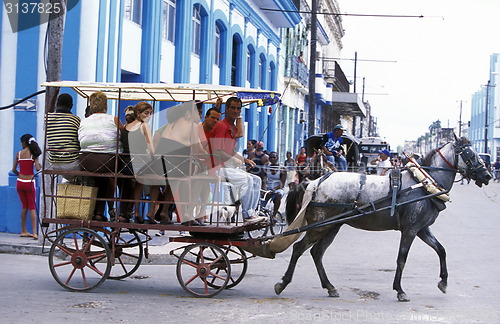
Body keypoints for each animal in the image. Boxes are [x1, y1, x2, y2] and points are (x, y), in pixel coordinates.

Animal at [278, 138, 492, 302]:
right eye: (470, 154)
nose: (488, 175)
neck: (424, 183)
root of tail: (314, 182)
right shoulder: (410, 229)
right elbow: (401, 259)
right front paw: (400, 290)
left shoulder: (422, 229)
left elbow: (441, 250)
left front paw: (443, 282)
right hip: (320, 226)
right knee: (298, 248)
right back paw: (283, 283)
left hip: (332, 226)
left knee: (316, 252)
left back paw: (330, 287)